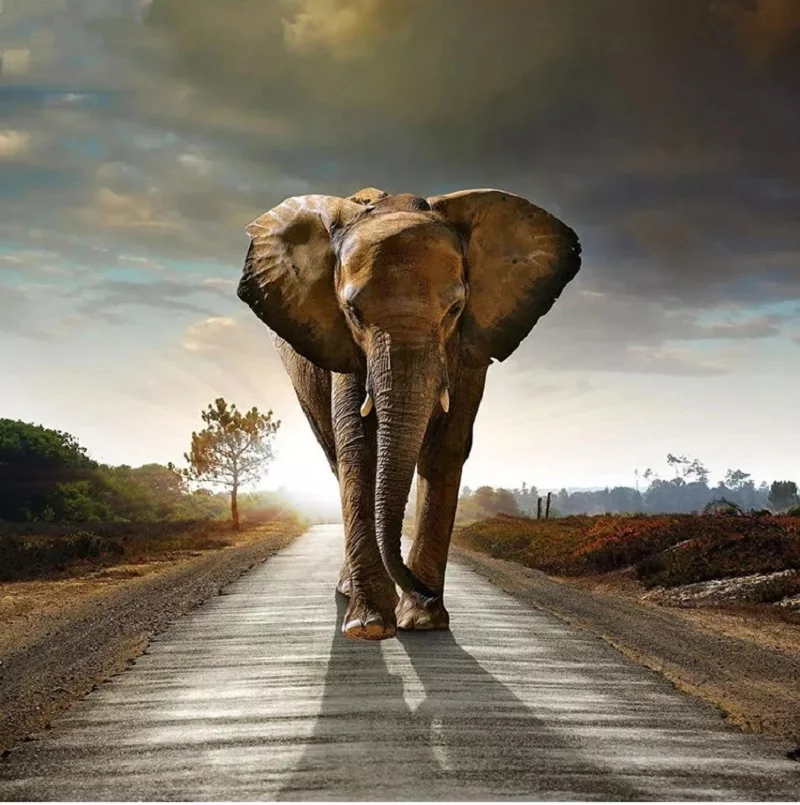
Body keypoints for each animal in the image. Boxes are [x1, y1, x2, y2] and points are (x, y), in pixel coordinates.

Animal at [237, 187, 581, 641]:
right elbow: (358, 448)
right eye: (353, 312)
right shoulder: (344, 347)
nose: (425, 592)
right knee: (335, 457)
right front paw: (369, 626)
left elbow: (445, 449)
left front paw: (423, 621)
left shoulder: (469, 347)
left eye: (455, 310)